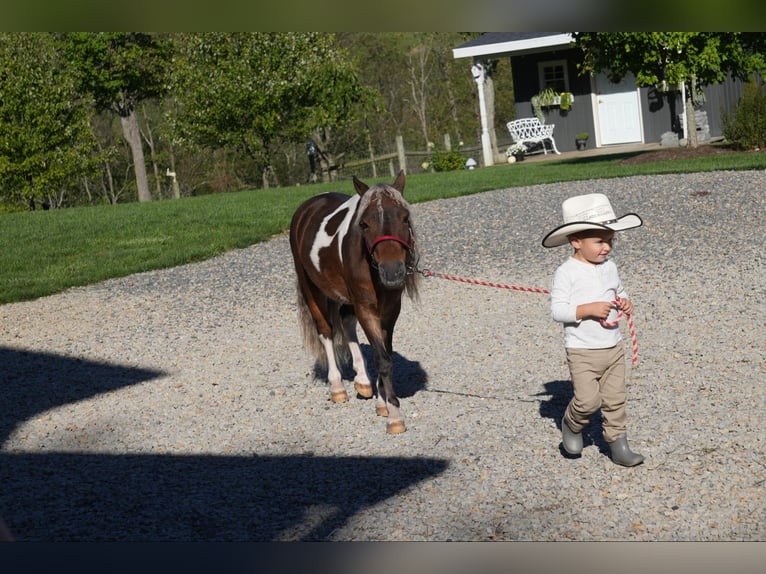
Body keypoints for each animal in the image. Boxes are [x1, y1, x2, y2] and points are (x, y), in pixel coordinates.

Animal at [290, 173, 420, 434]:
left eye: (405, 217)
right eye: (364, 224)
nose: (392, 272)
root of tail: (308, 206)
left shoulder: (390, 310)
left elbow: (385, 354)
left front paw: (382, 403)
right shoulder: (366, 308)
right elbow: (382, 359)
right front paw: (394, 416)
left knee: (346, 323)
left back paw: (362, 380)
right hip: (311, 288)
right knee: (326, 331)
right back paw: (337, 387)